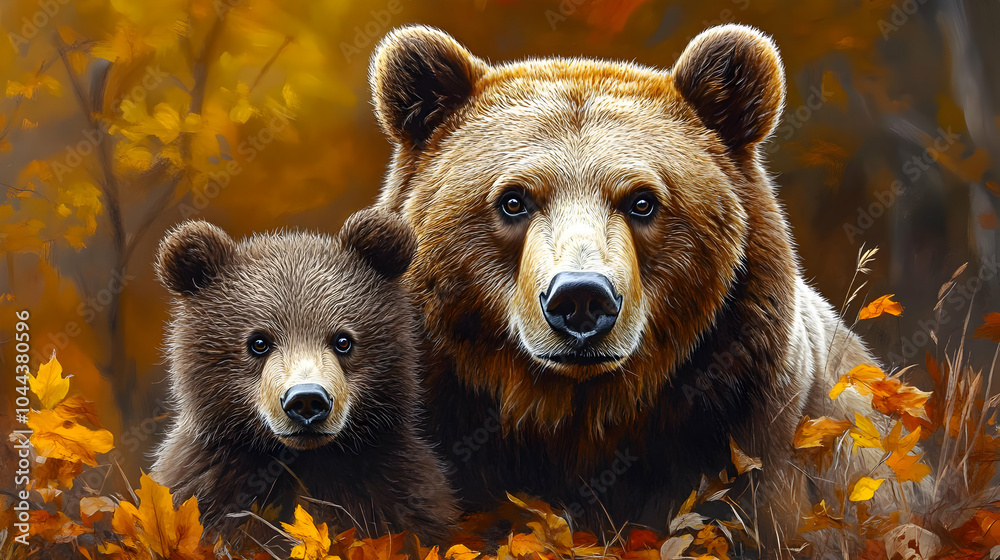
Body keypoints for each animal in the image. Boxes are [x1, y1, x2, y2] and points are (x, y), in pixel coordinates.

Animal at [151, 208, 459, 543]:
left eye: (343, 340)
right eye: (258, 342)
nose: (307, 400)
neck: (301, 459)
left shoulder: (393, 487)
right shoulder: (209, 484)